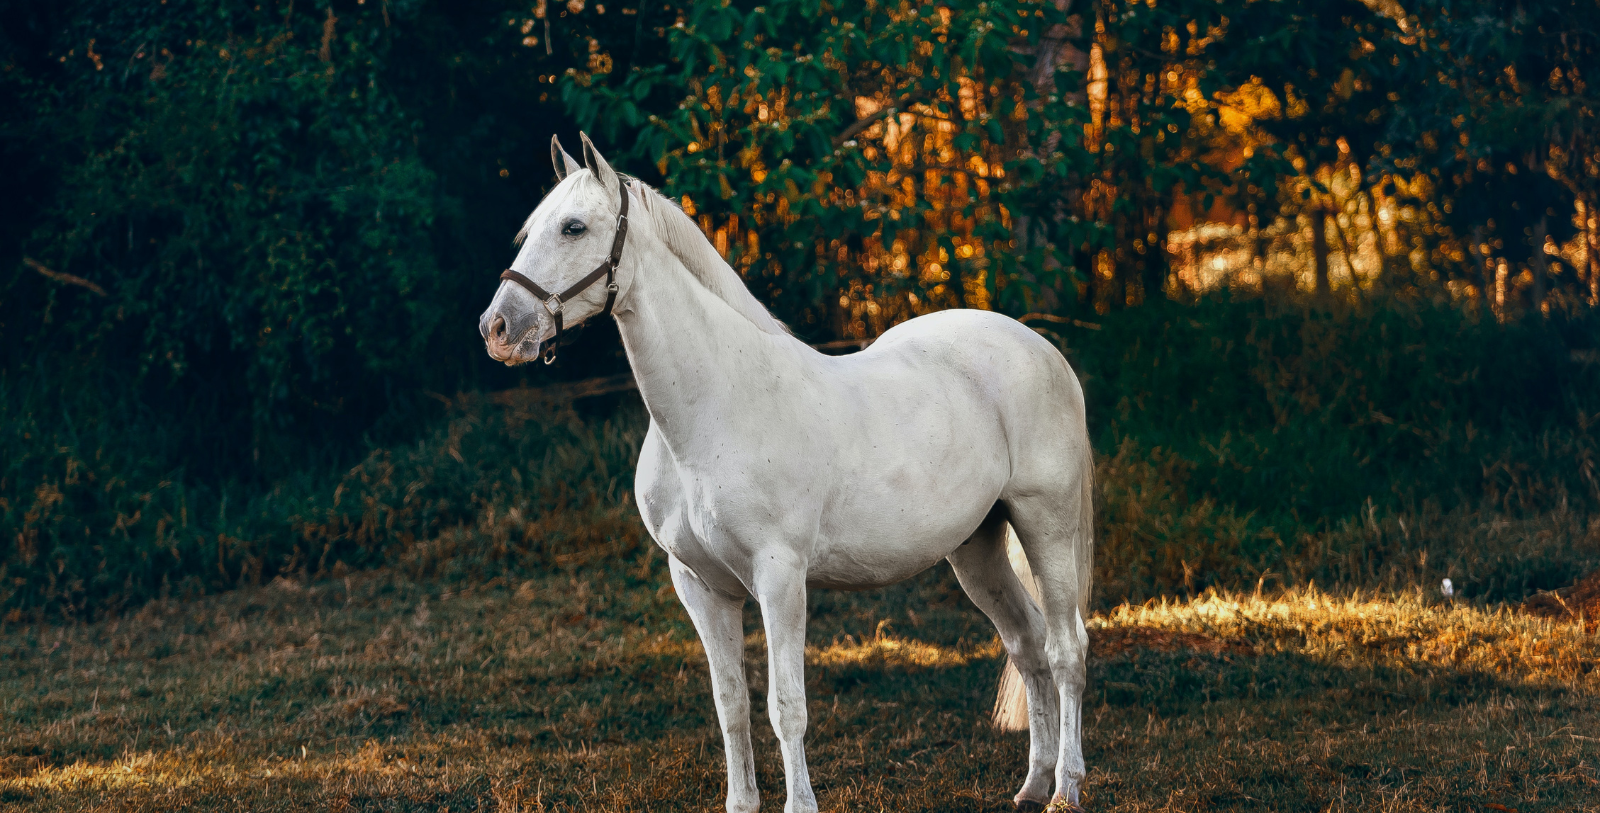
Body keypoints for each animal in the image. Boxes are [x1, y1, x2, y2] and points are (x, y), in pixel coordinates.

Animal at [479, 133, 1095, 813]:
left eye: (574, 227)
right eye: (528, 231)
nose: (498, 329)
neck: (715, 408)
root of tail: (1041, 348)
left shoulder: (780, 577)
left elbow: (786, 707)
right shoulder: (700, 585)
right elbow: (730, 706)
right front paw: (741, 802)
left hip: (1045, 524)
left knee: (1067, 648)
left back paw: (1066, 787)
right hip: (976, 548)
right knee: (1028, 644)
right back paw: (1032, 785)